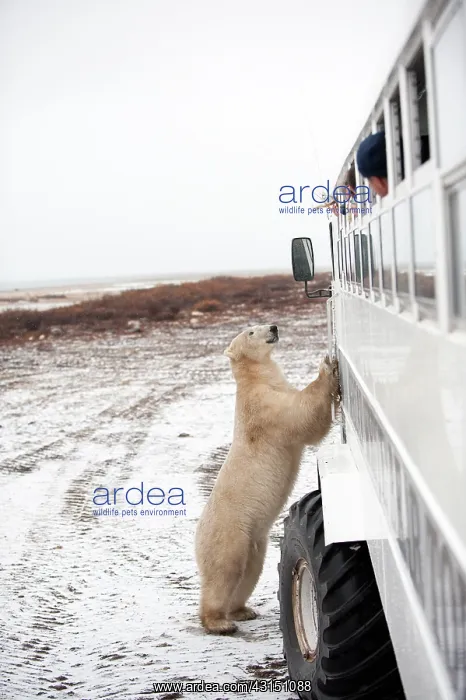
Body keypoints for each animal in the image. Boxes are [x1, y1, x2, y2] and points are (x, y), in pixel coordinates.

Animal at [195, 323, 339, 634]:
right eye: (250, 331)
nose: (273, 326)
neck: (257, 379)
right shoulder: (264, 407)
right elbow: (300, 415)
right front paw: (326, 369)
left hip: (254, 540)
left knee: (250, 571)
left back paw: (242, 610)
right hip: (229, 533)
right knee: (224, 572)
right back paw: (219, 622)